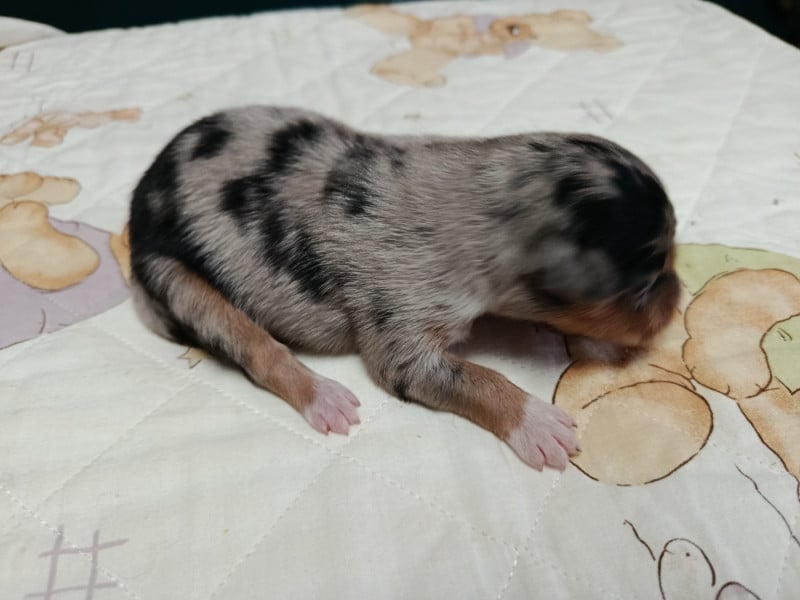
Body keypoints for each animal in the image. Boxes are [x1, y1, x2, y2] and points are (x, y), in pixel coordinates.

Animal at [128, 105, 679, 471]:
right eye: (647, 284)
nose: (677, 297)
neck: (488, 200)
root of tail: (136, 211)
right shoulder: (400, 329)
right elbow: (476, 376)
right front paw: (540, 425)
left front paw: (593, 344)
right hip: (179, 282)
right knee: (257, 349)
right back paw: (325, 398)